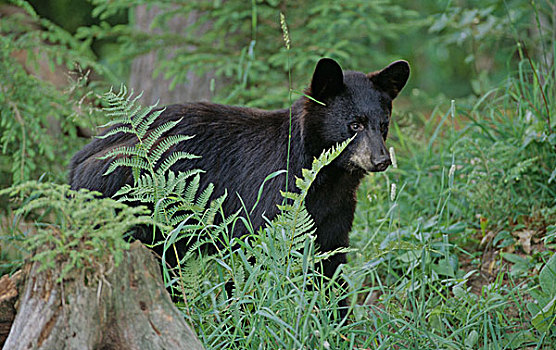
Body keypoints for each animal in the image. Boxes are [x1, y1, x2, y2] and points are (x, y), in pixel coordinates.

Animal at [68, 58, 408, 284]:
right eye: (354, 125)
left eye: (383, 124)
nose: (382, 160)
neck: (327, 177)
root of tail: (78, 161)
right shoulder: (268, 200)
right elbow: (252, 262)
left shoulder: (335, 214)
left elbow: (332, 267)